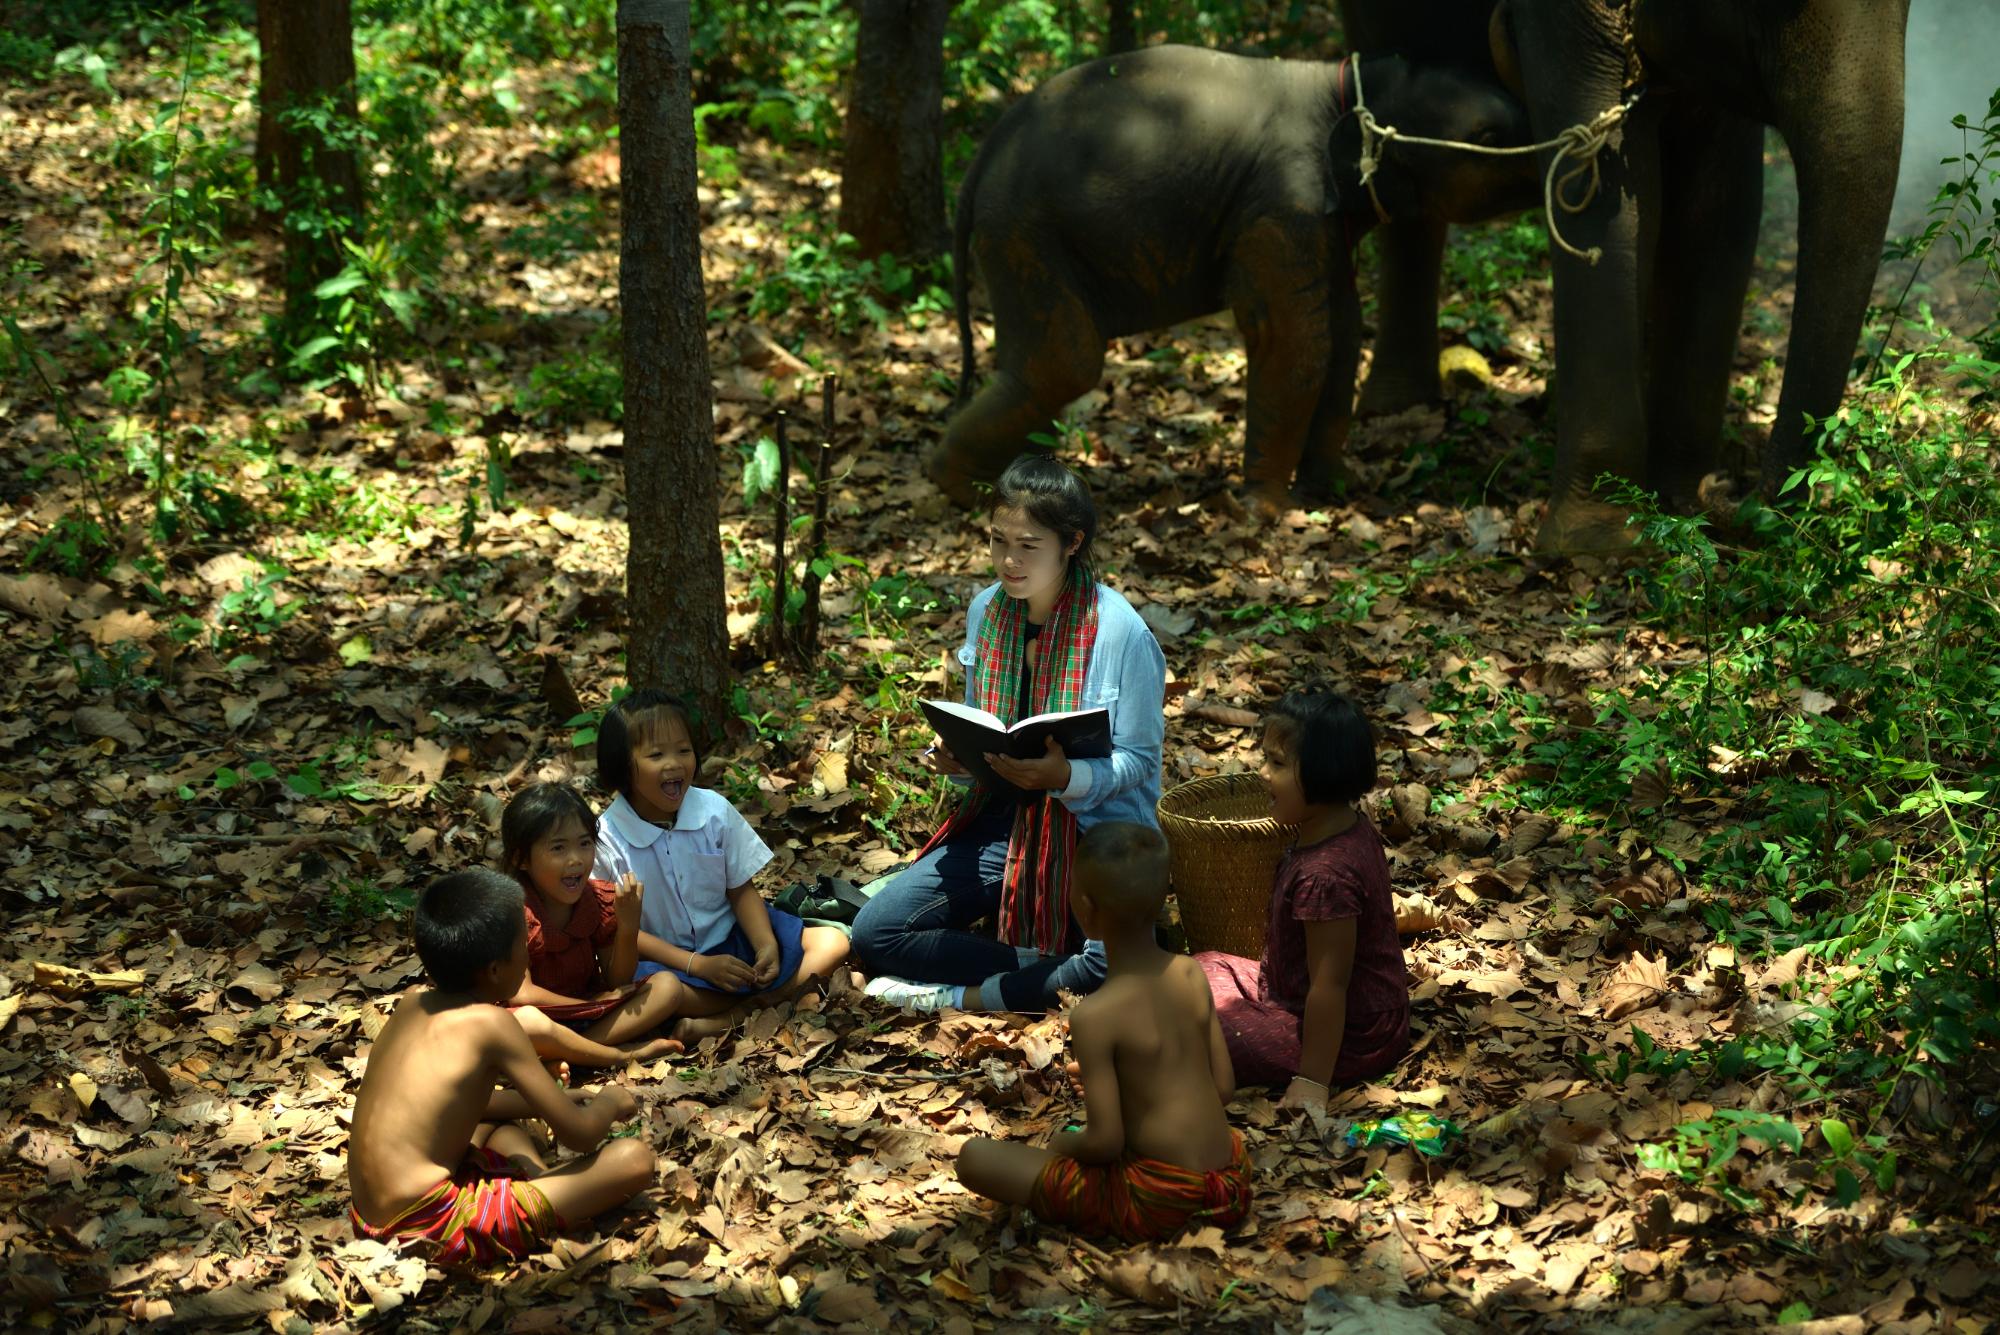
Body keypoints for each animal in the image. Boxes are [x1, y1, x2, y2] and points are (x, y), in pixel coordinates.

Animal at [932, 42, 1528, 511]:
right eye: (1489, 136)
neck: (1343, 84)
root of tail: (982, 157)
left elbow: (1342, 336)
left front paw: (1329, 490)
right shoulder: (1281, 202)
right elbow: (1293, 342)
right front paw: (1260, 511)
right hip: (1022, 230)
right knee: (1063, 365)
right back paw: (962, 491)